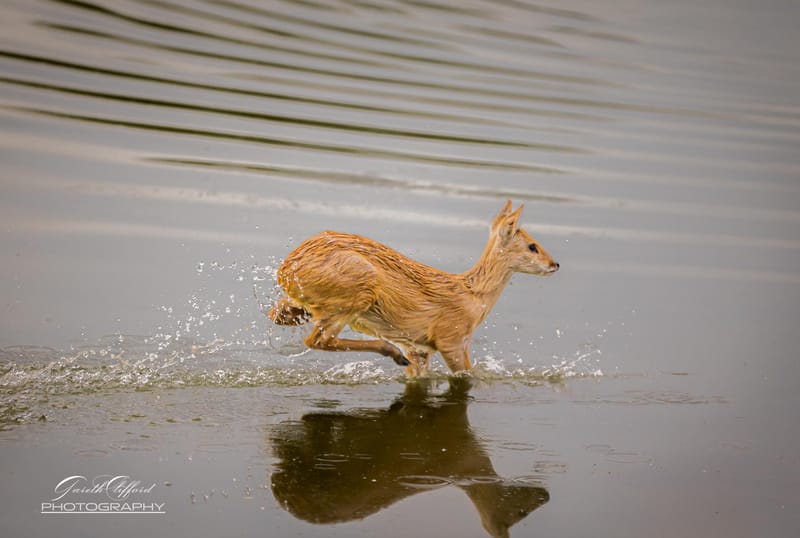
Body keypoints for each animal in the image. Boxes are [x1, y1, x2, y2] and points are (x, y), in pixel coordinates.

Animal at [268, 200, 559, 377]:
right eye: (533, 246)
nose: (555, 264)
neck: (473, 297)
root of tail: (286, 268)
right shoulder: (451, 339)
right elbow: (467, 375)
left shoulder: (421, 349)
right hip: (356, 289)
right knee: (318, 340)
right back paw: (392, 353)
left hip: (307, 302)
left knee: (279, 315)